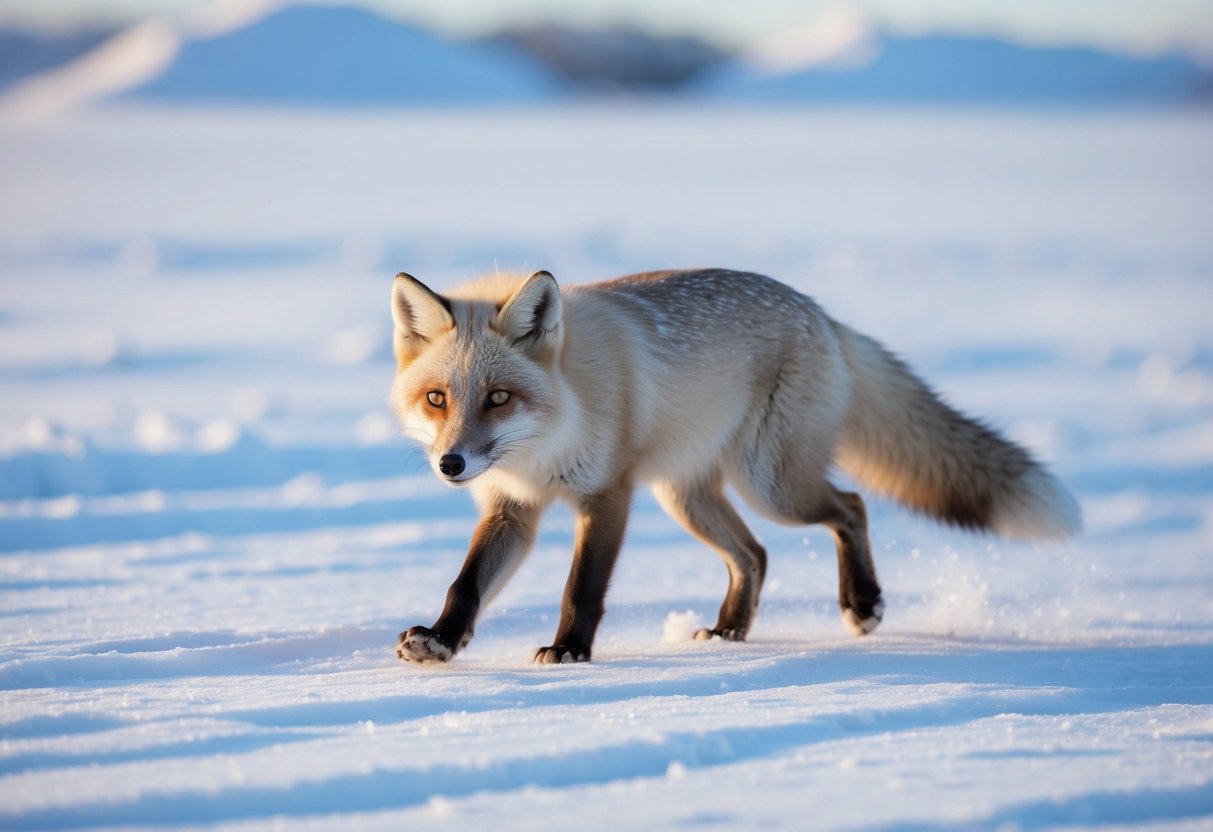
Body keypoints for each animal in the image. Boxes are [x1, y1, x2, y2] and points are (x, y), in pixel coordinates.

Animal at [389, 268, 1080, 665]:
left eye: (499, 398)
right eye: (438, 399)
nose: (451, 464)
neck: (547, 441)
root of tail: (820, 311)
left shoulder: (607, 495)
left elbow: (581, 587)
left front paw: (568, 650)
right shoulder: (512, 508)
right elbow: (466, 584)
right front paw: (442, 641)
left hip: (771, 485)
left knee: (850, 507)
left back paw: (862, 604)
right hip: (688, 497)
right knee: (755, 555)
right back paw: (729, 631)